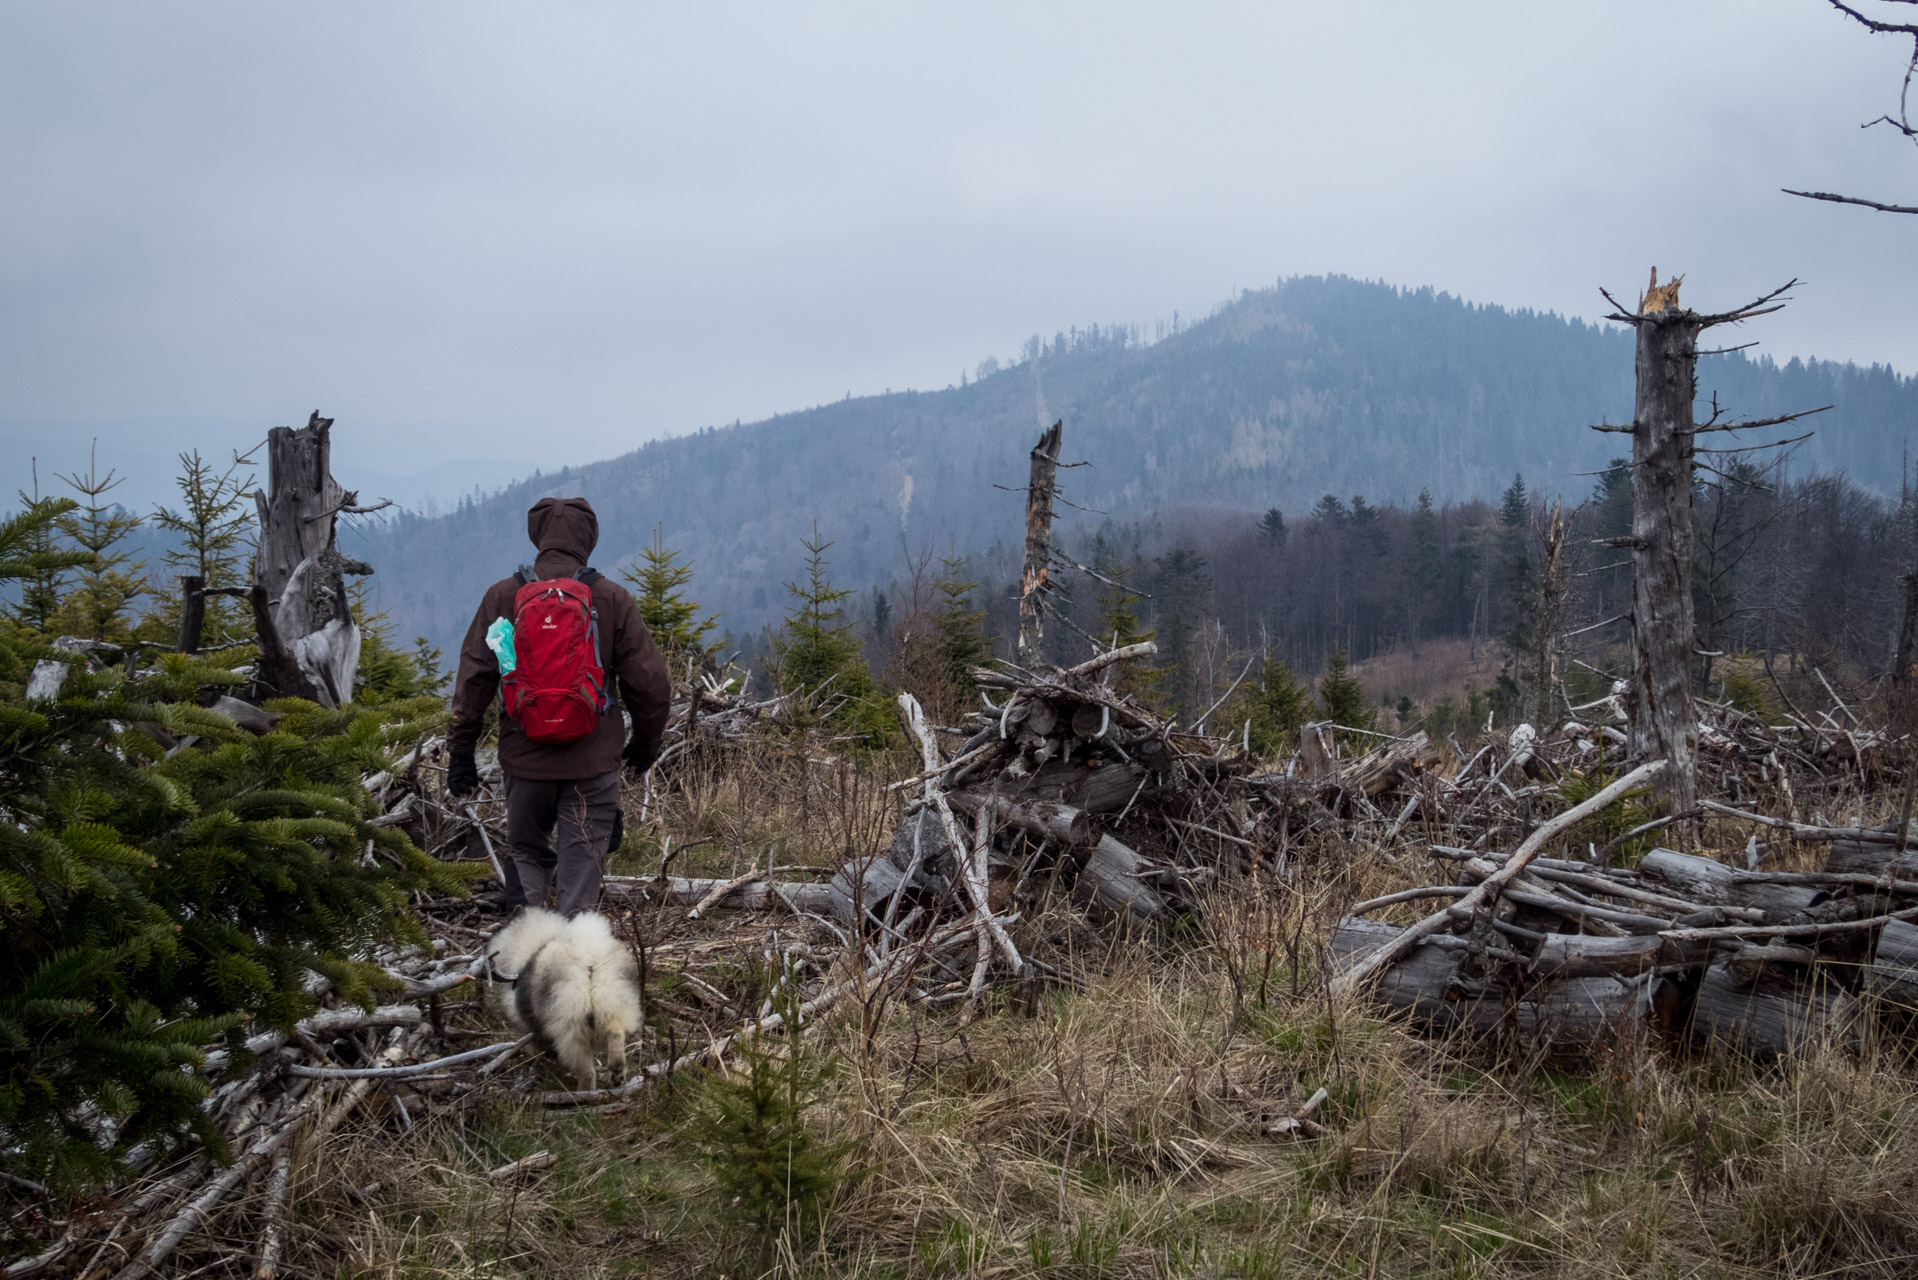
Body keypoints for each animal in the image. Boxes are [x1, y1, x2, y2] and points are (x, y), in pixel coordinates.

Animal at [487, 909, 644, 1090]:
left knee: (587, 1072)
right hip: (615, 1002)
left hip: (571, 1027)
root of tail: (589, 957)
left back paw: (584, 1092)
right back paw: (617, 1071)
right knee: (616, 1032)